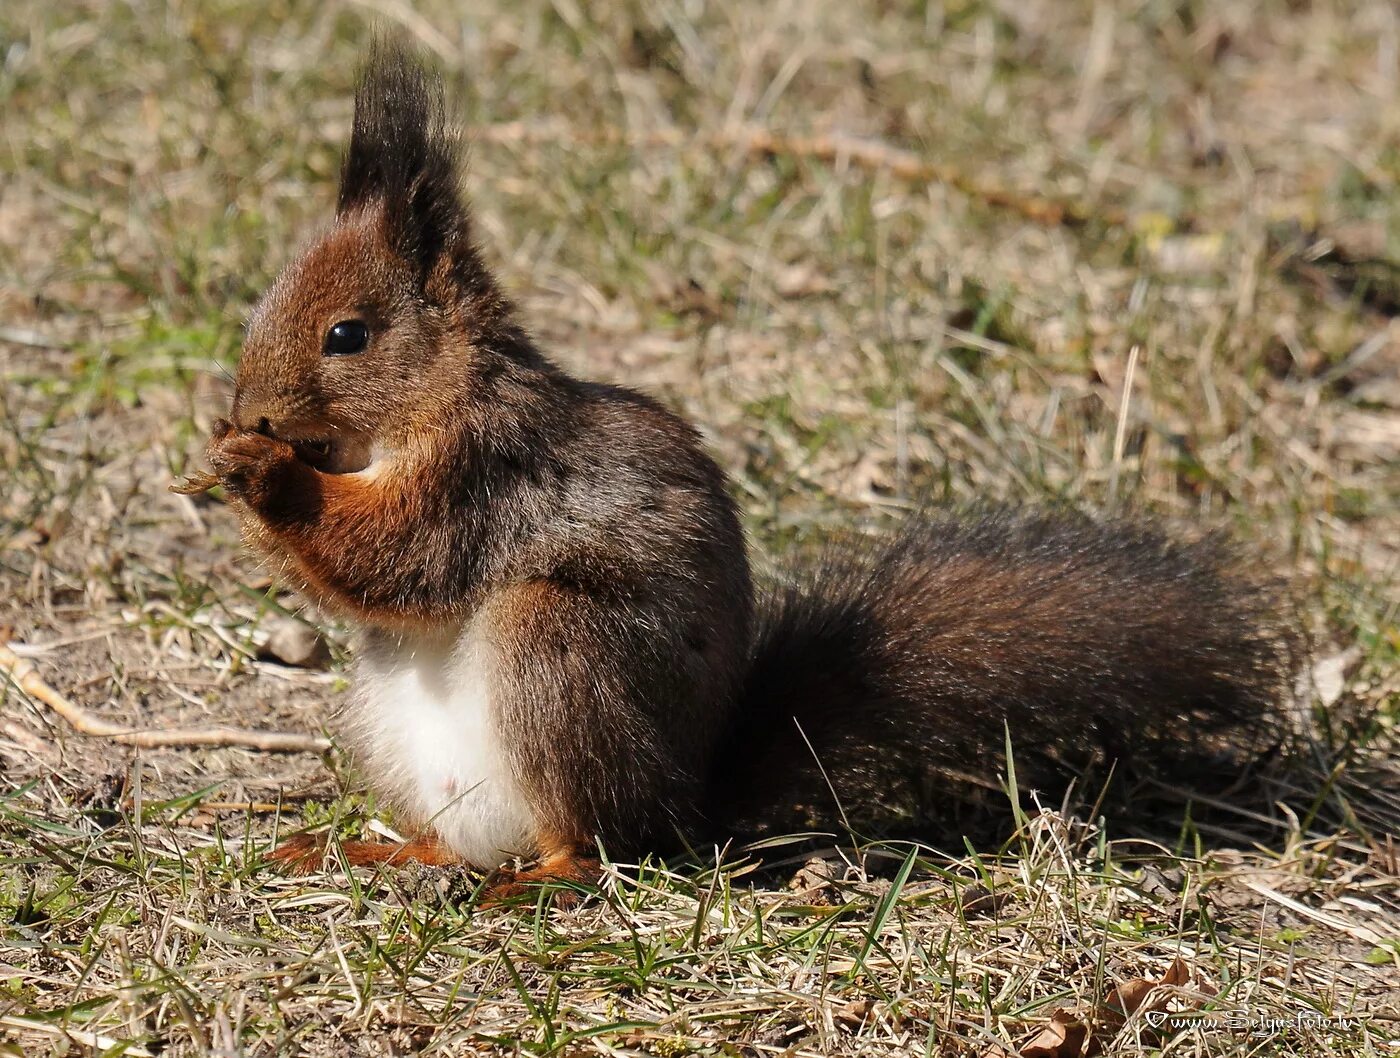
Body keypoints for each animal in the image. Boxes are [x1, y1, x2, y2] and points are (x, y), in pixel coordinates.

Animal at [191, 43, 1293, 901]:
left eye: (347, 335)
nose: (251, 409)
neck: (426, 400)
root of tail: (687, 800)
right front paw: (221, 452)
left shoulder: (486, 470)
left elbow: (397, 553)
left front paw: (262, 472)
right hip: (391, 711)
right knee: (458, 839)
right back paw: (378, 851)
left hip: (559, 646)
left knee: (594, 846)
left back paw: (538, 878)